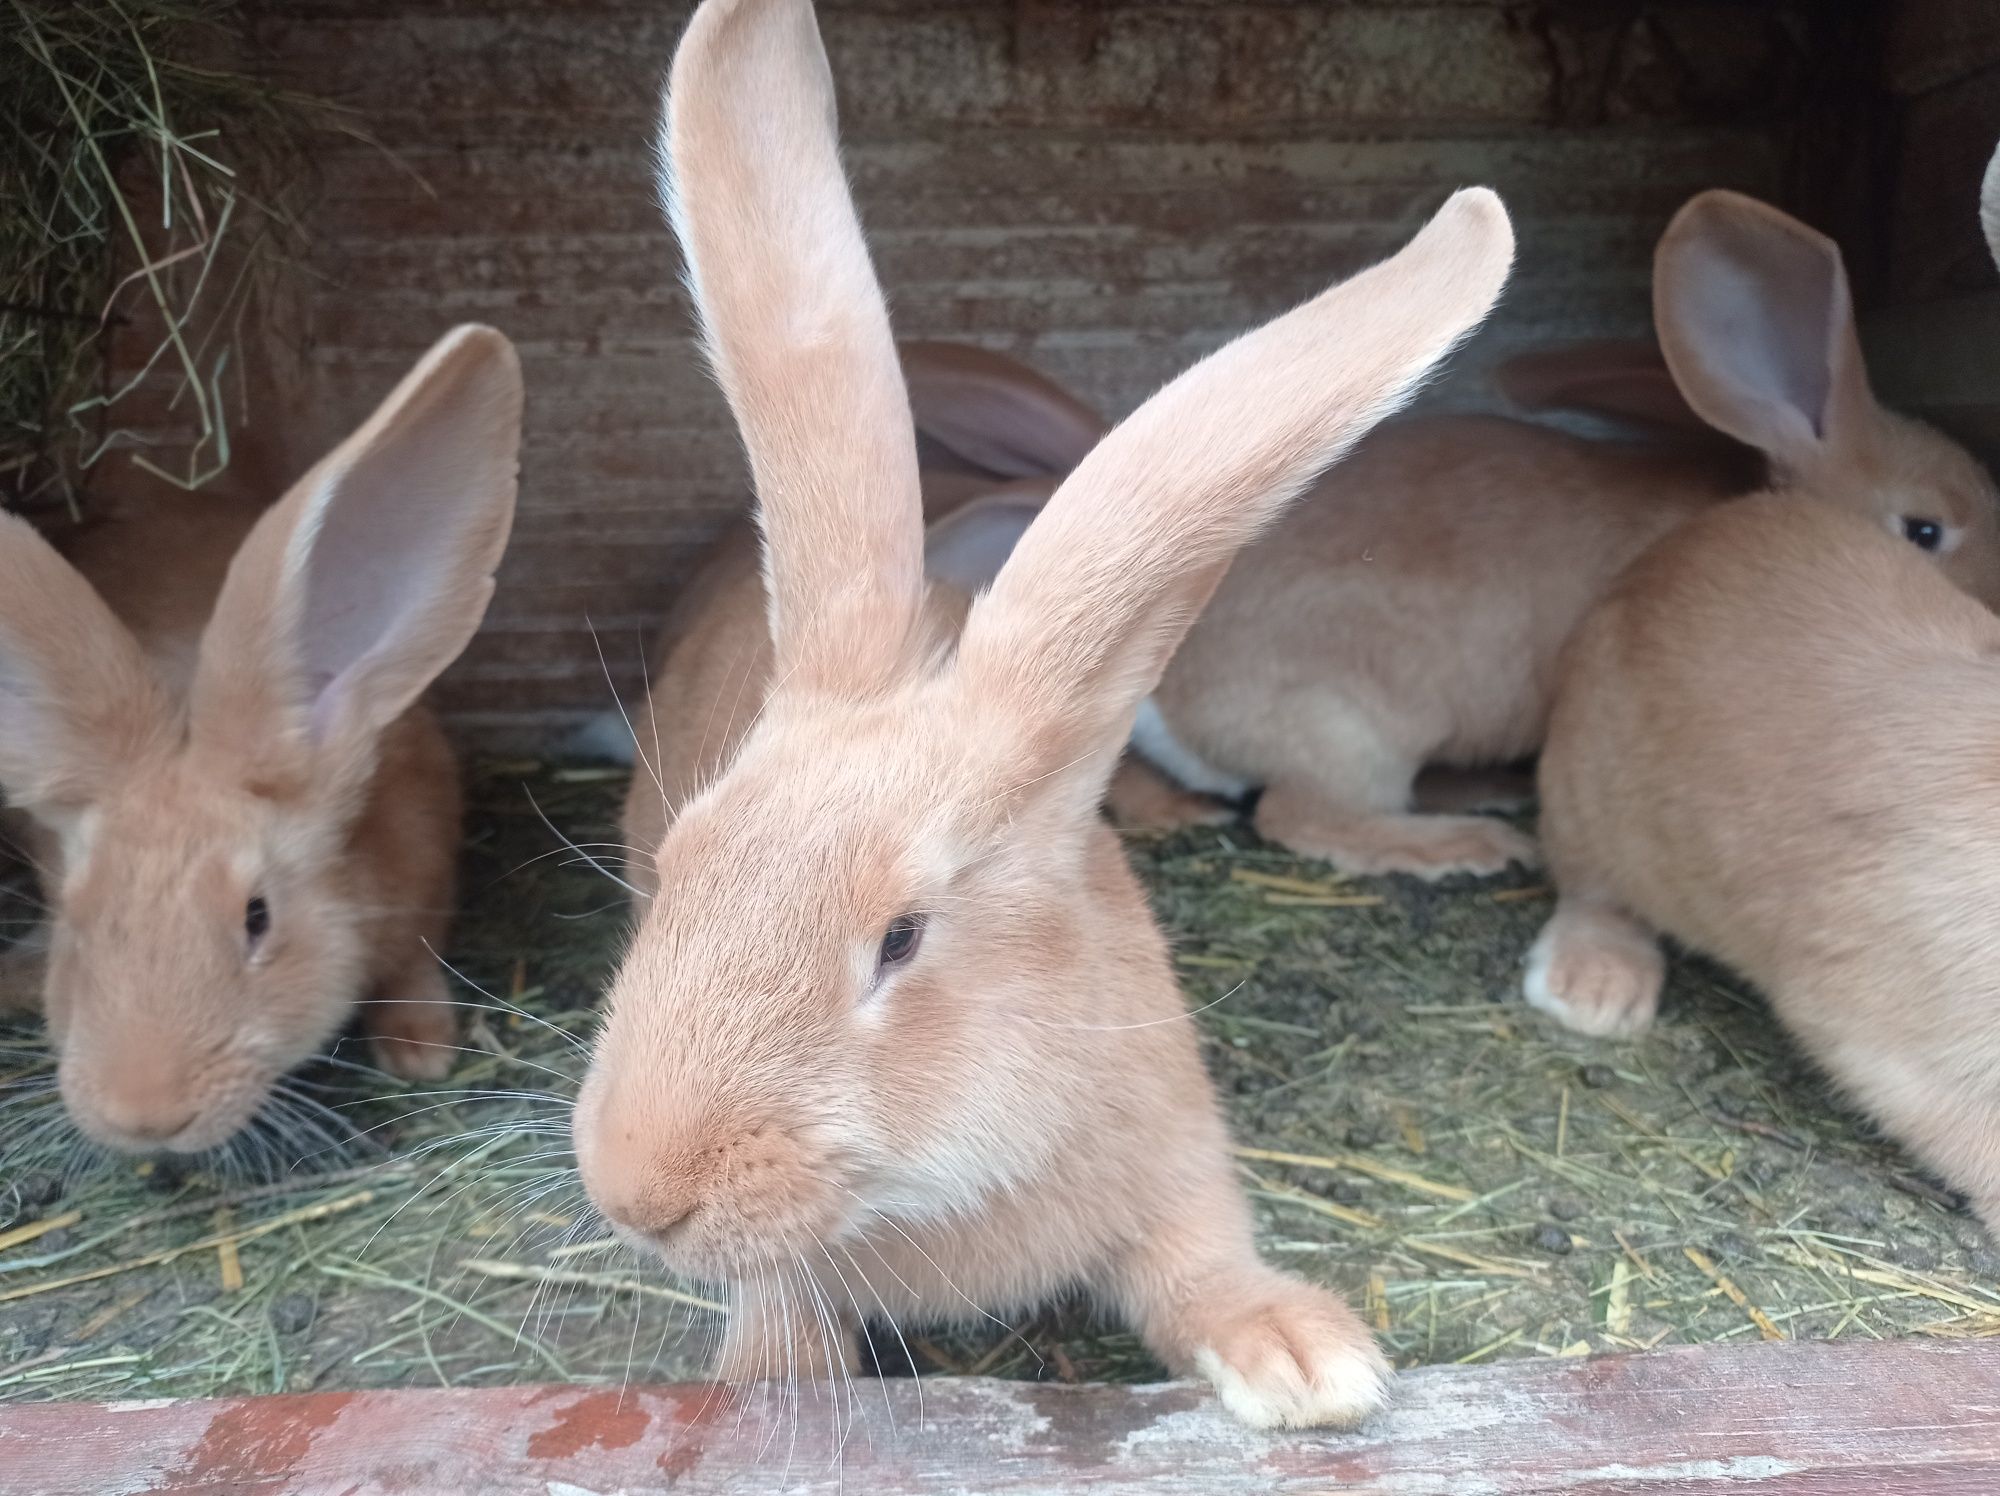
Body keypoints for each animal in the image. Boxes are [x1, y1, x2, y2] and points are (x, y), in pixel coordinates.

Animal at [580, 0, 1512, 1432]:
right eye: (679, 867)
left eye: (901, 936)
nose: (636, 1192)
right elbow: (786, 1321)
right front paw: (757, 1385)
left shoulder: (1174, 1161)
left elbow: (1197, 1264)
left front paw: (1307, 1366)